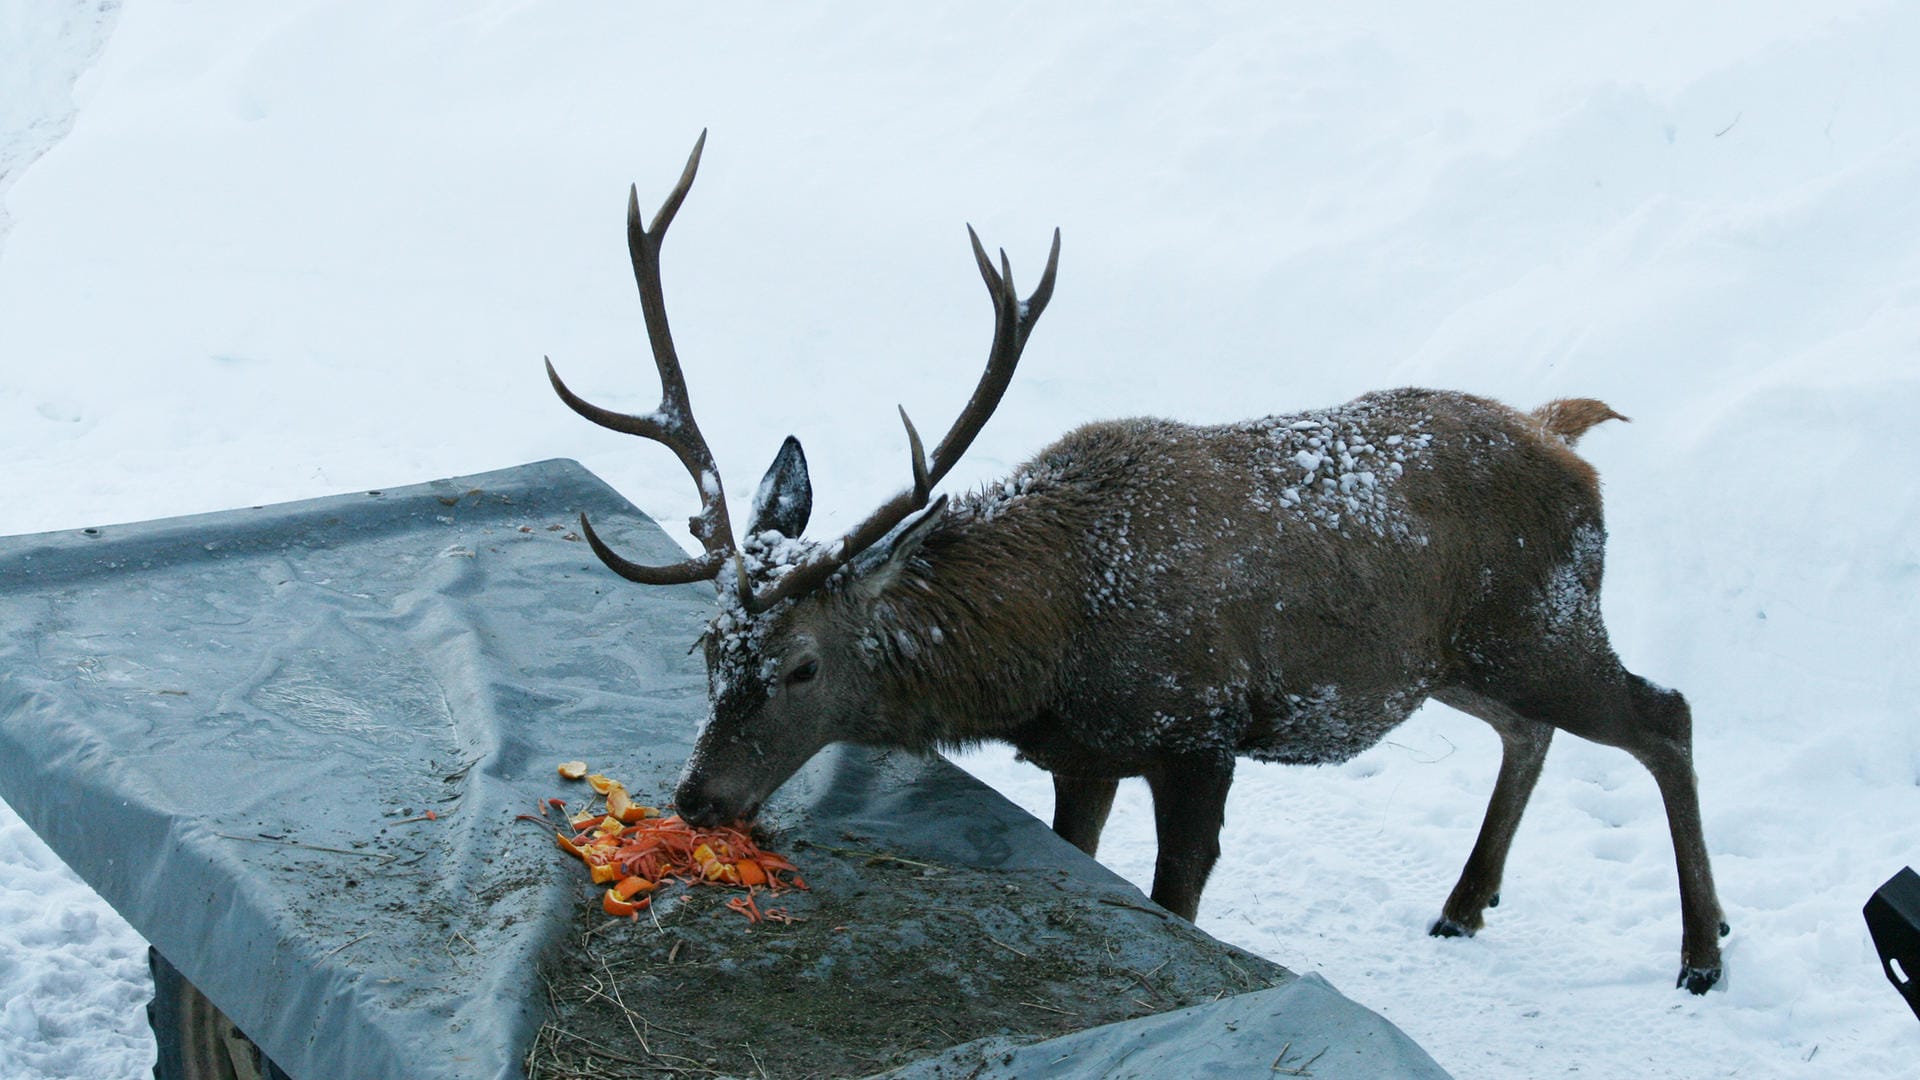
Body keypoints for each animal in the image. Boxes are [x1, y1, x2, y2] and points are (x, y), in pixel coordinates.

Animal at [549, 132, 1735, 991]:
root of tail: (1567, 438)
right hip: (1457, 658)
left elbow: (1178, 898)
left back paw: (1702, 951)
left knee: (1664, 713)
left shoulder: (1198, 730)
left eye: (801, 665)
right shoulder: (1085, 753)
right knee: (1530, 731)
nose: (699, 796)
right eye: (707, 648)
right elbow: (1089, 856)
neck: (1052, 647)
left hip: (1544, 619)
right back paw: (1463, 904)